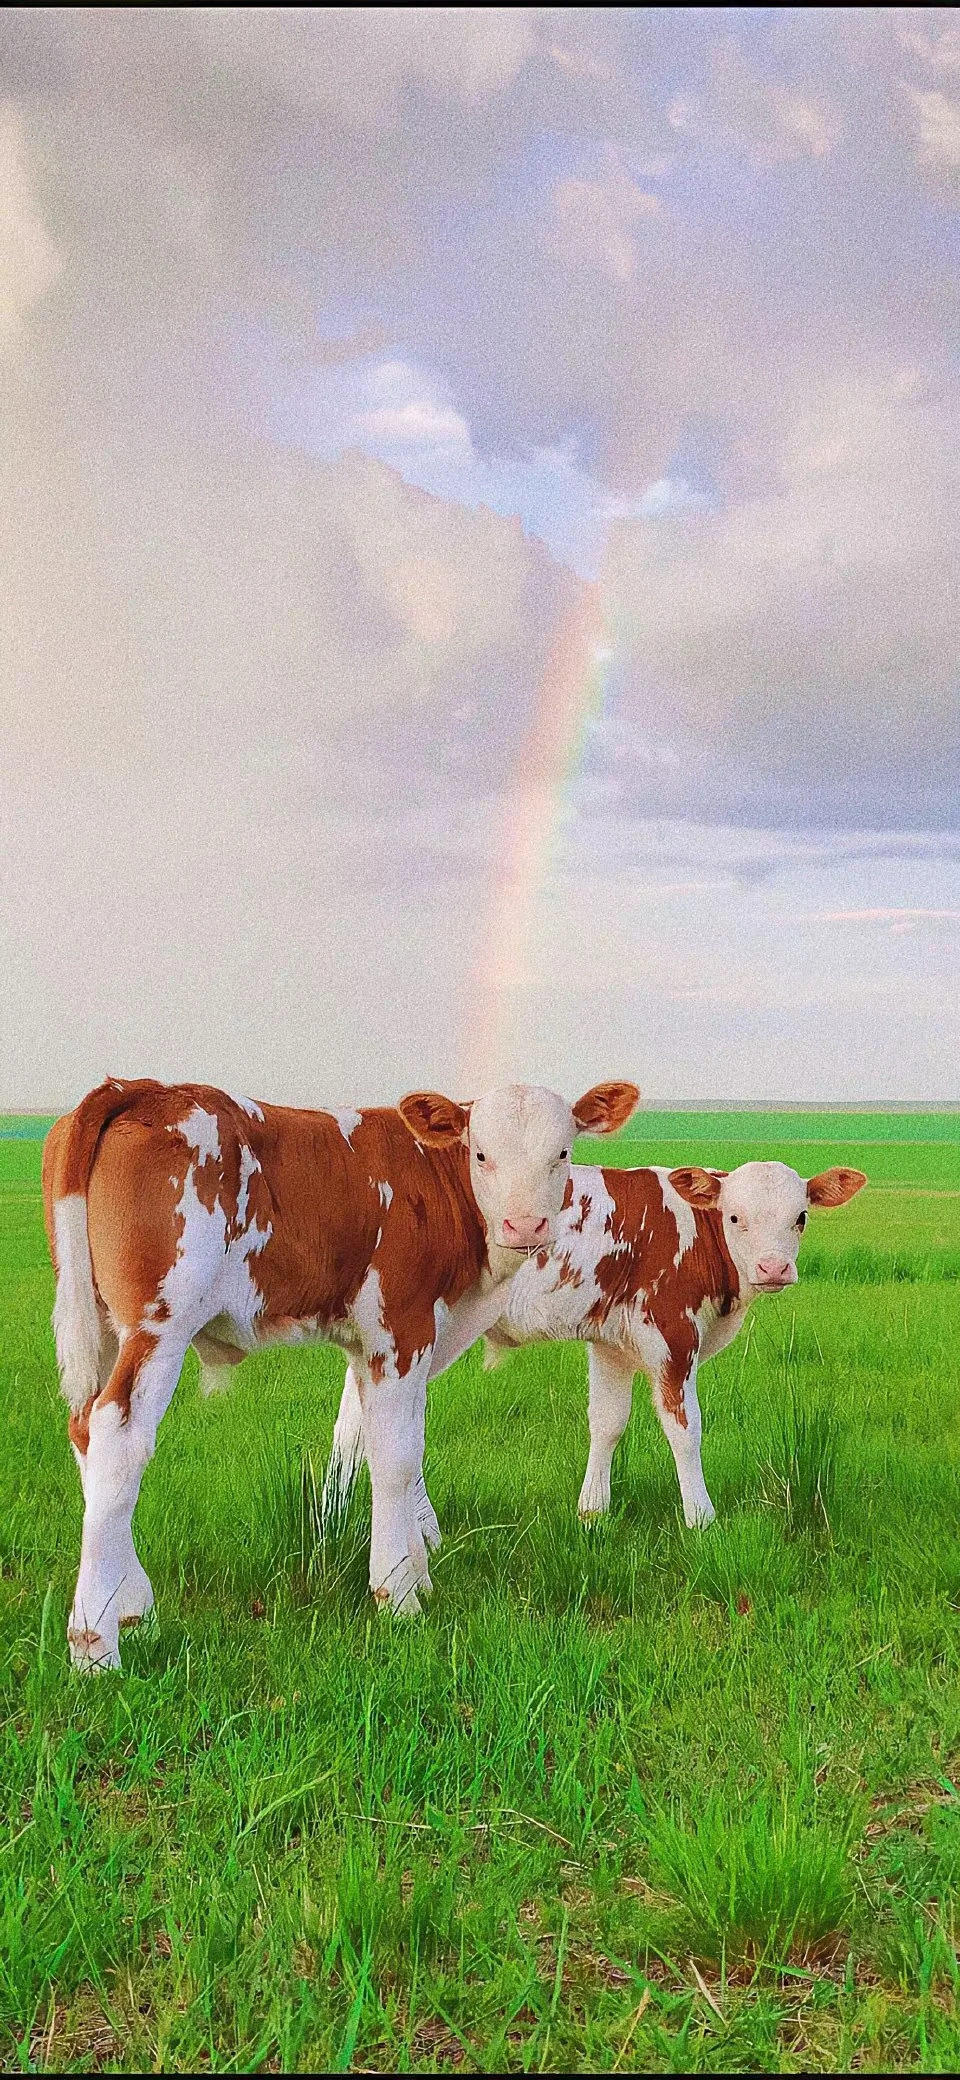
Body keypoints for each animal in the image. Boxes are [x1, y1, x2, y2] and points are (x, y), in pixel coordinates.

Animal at [41, 1081, 635, 1664]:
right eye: (482, 1155)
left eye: (562, 1153)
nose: (524, 1224)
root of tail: (141, 1090)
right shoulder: (401, 1329)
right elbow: (395, 1458)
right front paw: (398, 1594)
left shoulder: (392, 1343)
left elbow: (394, 1444)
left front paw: (417, 1573)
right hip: (159, 1325)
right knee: (119, 1437)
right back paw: (94, 1642)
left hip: (101, 1327)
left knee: (86, 1433)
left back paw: (131, 1606)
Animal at [326, 1156, 864, 1530]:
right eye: (735, 1217)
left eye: (800, 1217)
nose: (774, 1267)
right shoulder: (672, 1333)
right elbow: (685, 1428)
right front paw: (700, 1516)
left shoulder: (612, 1343)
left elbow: (607, 1422)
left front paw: (592, 1511)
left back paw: (338, 1518)